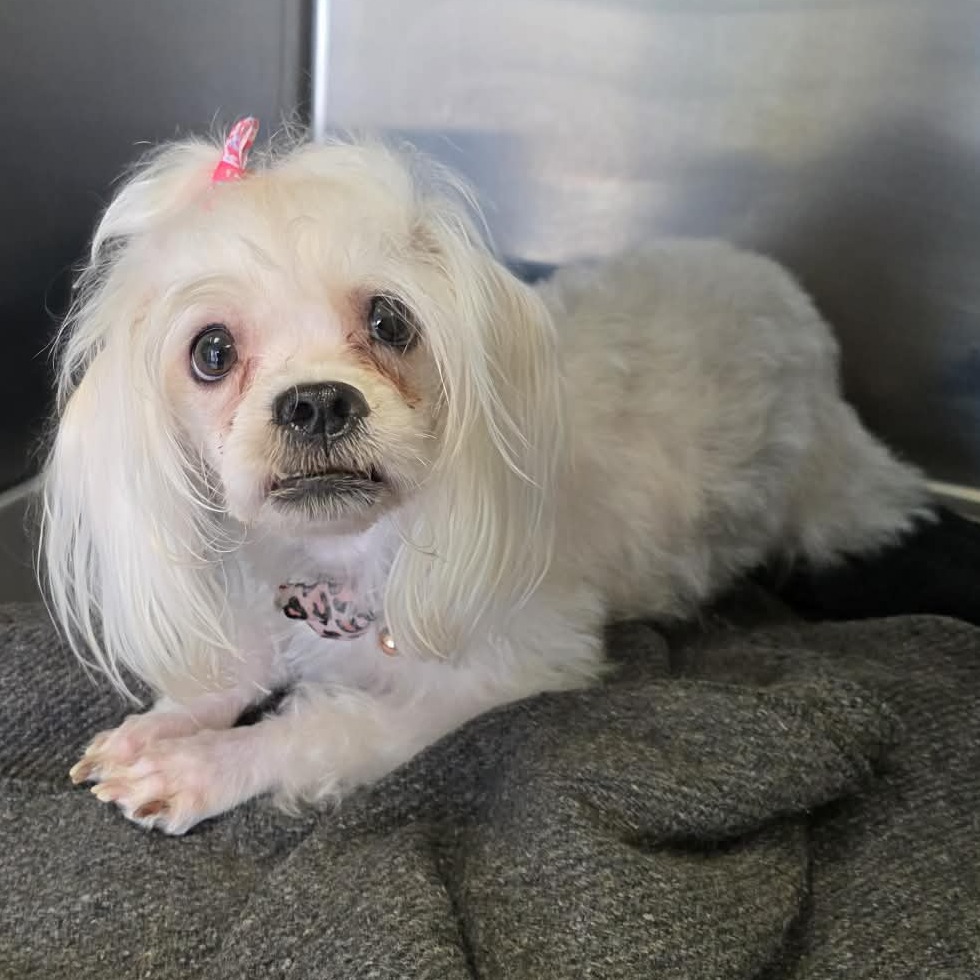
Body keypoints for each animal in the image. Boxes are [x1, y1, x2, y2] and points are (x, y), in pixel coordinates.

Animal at [42, 119, 929, 834]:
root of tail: (783, 288)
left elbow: (326, 726)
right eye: (212, 351)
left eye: (390, 320)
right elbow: (243, 664)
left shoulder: (500, 669)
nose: (317, 402)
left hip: (832, 493)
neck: (352, 565)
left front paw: (199, 767)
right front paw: (163, 726)